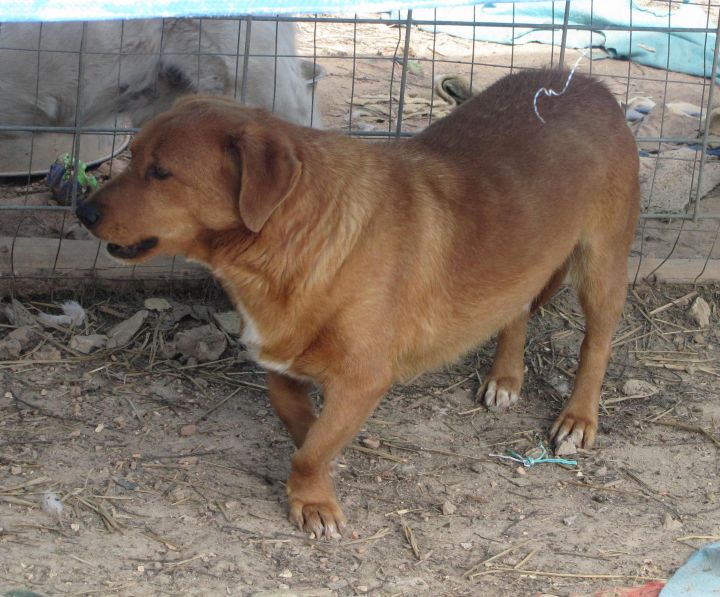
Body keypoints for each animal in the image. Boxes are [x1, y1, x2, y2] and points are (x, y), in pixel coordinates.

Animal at [77, 70, 640, 536]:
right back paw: (505, 377)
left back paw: (578, 419)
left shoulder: (363, 378)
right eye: (131, 155)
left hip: (602, 267)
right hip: (521, 261)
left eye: (161, 173)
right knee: (516, 312)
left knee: (596, 345)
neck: (296, 238)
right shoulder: (280, 360)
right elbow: (303, 427)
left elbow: (312, 451)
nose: (82, 210)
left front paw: (312, 499)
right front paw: (318, 462)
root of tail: (586, 82)